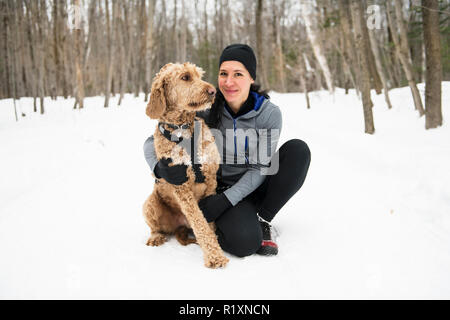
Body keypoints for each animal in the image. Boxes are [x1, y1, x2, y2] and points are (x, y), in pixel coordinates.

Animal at [144, 62, 229, 268]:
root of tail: (180, 225)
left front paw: (215, 248)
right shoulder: (181, 186)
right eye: (185, 77)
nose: (213, 91)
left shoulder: (211, 179)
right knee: (155, 227)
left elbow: (208, 220)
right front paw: (215, 257)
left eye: (199, 76)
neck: (183, 131)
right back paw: (156, 237)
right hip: (149, 203)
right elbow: (199, 221)